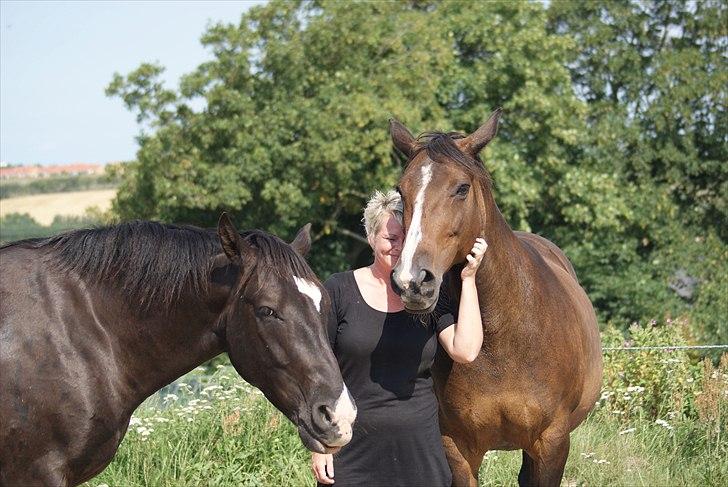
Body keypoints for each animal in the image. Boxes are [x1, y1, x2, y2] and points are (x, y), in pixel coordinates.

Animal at [392, 111, 604, 487]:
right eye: (402, 192)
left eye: (462, 188)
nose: (412, 281)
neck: (501, 334)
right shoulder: (456, 447)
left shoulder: (551, 443)